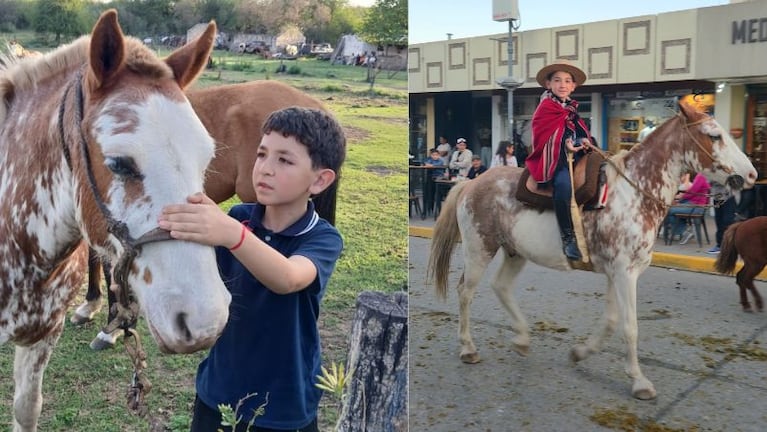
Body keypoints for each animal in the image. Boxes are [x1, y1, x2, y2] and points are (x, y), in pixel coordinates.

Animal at [428, 102, 757, 400]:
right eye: (714, 135)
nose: (752, 175)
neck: (634, 193)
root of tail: (470, 184)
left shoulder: (617, 272)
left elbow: (611, 321)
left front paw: (580, 352)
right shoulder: (624, 273)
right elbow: (630, 326)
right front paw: (639, 382)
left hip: (514, 252)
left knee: (501, 286)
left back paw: (521, 339)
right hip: (479, 249)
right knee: (466, 292)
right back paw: (468, 348)